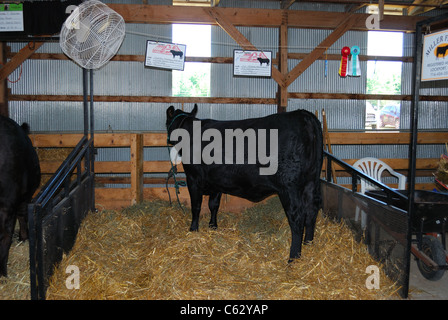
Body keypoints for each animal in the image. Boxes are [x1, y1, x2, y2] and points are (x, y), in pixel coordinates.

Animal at [166, 104, 324, 262]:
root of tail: (303, 114)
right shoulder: (216, 181)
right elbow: (213, 205)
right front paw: (213, 226)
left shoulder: (193, 178)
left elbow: (196, 206)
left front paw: (193, 229)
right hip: (311, 182)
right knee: (312, 210)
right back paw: (309, 243)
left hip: (290, 186)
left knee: (297, 217)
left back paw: (293, 257)